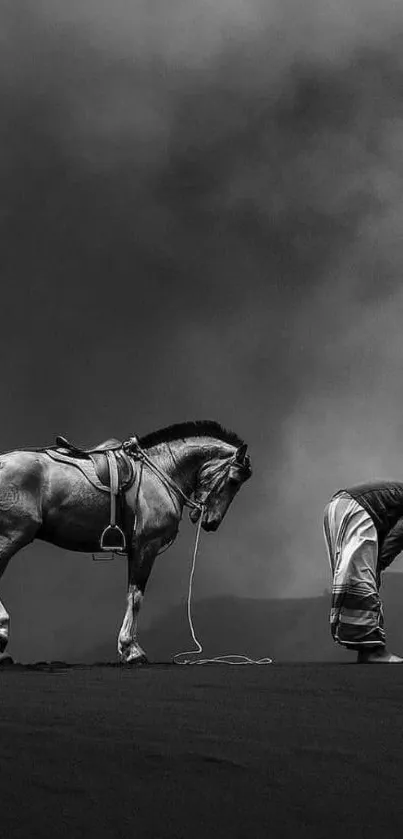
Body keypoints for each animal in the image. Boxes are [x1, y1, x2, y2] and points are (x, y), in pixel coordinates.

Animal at [0, 420, 252, 664]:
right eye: (233, 481)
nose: (212, 522)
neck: (158, 472)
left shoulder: (134, 549)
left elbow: (131, 594)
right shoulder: (146, 545)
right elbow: (136, 596)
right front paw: (130, 648)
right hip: (12, 537)